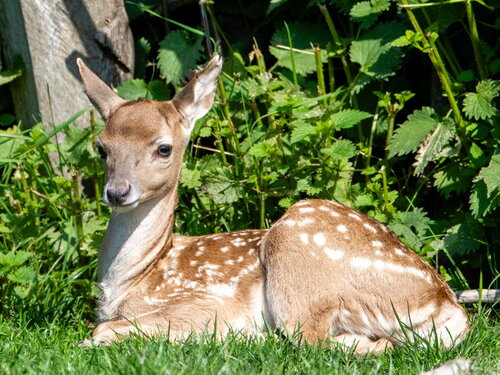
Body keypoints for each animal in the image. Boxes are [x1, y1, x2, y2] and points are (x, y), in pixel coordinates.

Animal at [77, 54, 468, 354]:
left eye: (163, 148)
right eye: (102, 147)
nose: (117, 192)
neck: (137, 276)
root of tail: (446, 307)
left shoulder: (208, 301)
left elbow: (101, 330)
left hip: (298, 254)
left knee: (316, 340)